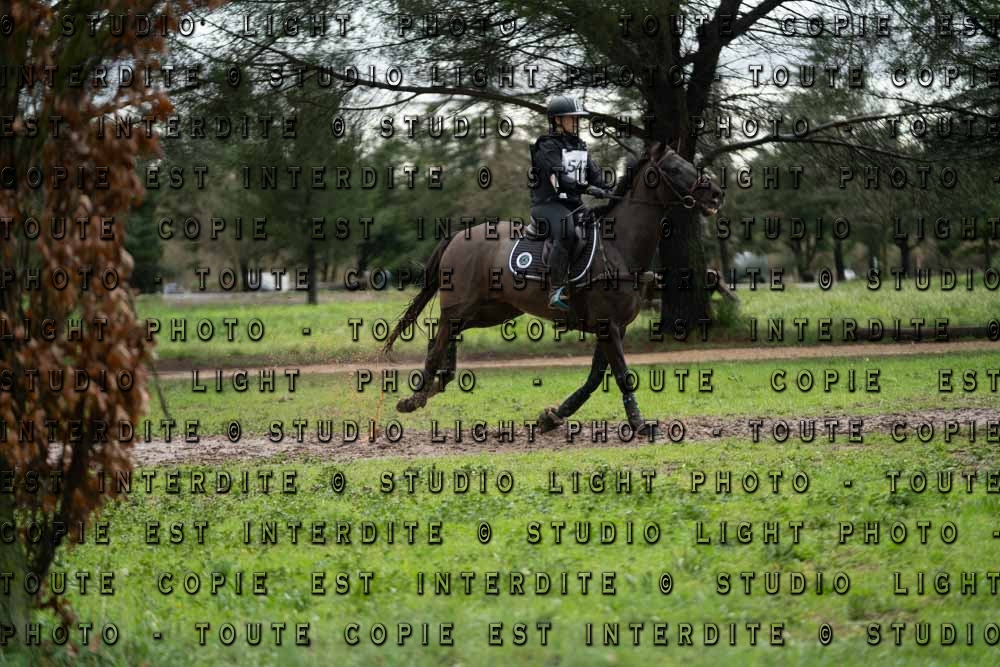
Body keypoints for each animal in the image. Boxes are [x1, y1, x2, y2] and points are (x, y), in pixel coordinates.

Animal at [382, 141, 725, 436]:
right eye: (677, 168)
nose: (717, 195)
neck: (618, 247)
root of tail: (458, 235)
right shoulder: (608, 326)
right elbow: (622, 375)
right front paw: (640, 424)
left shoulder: (615, 327)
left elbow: (595, 377)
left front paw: (553, 416)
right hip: (462, 305)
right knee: (437, 345)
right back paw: (413, 398)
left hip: (491, 311)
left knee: (442, 339)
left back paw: (435, 385)